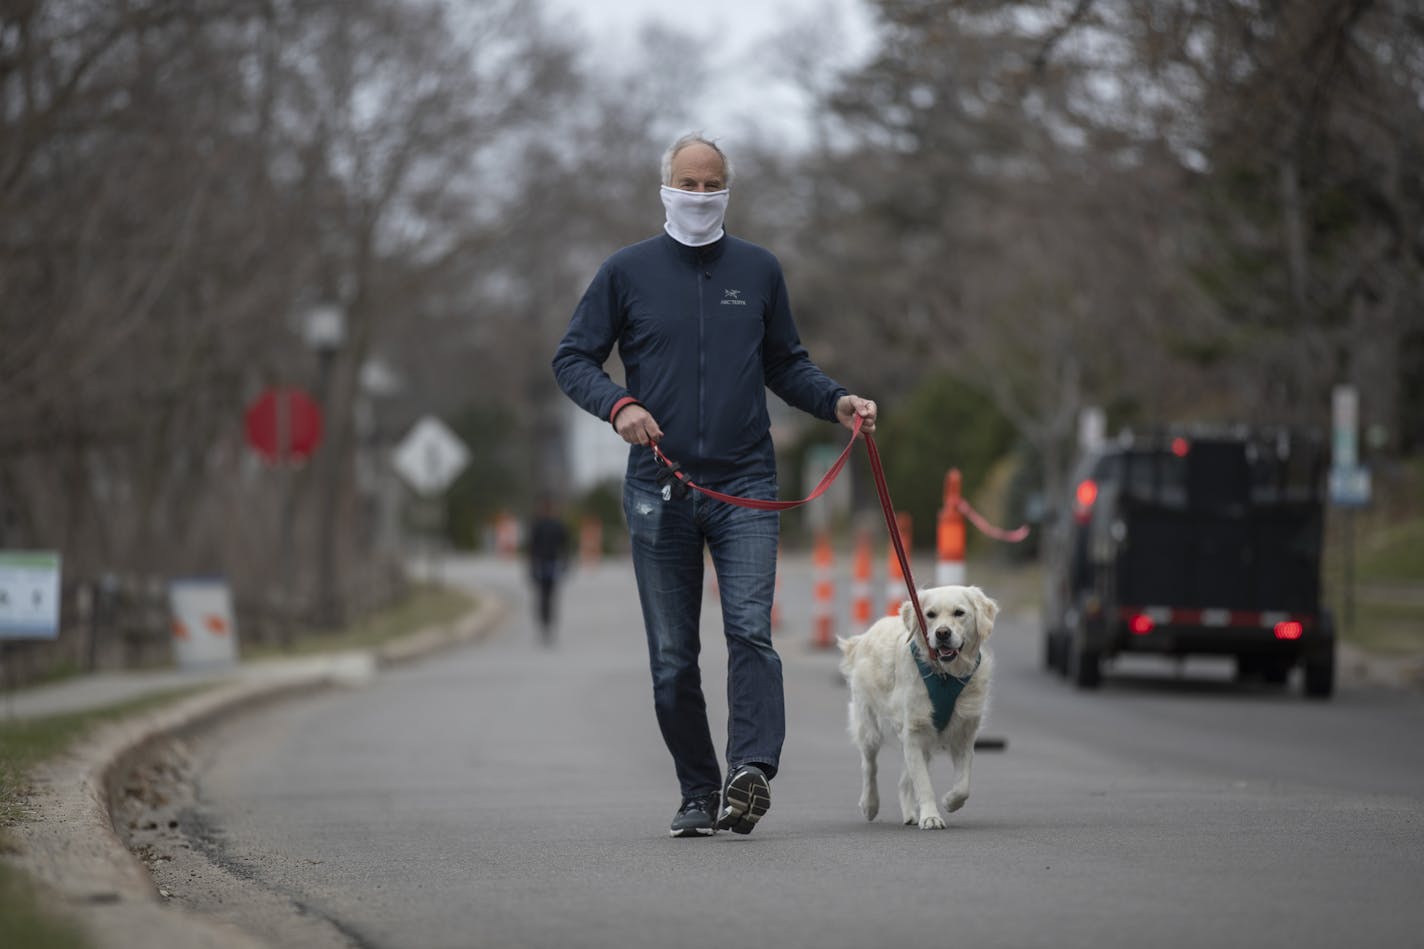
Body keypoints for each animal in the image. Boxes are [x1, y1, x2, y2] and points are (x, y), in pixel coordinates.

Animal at [837, 584, 996, 826]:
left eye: (959, 613)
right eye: (930, 614)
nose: (942, 633)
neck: (945, 675)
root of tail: (866, 635)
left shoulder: (963, 734)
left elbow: (963, 785)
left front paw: (950, 801)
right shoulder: (914, 732)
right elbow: (924, 783)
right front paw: (931, 817)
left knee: (904, 781)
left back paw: (911, 814)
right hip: (869, 725)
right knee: (869, 767)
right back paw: (870, 805)